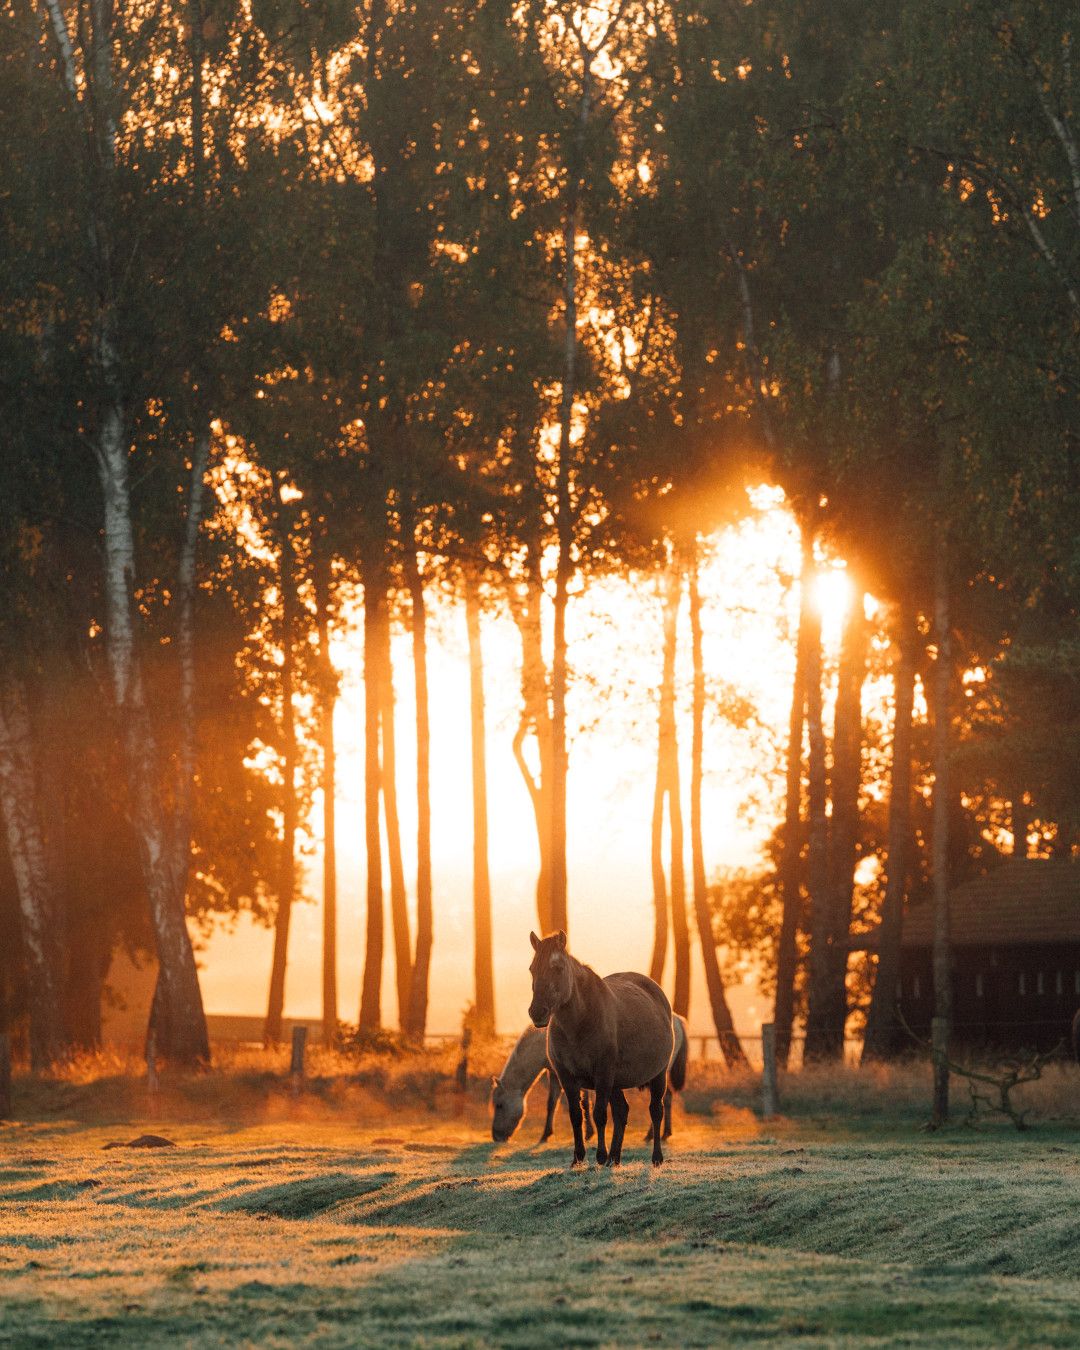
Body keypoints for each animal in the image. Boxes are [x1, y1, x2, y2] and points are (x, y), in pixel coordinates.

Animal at [528, 929, 674, 1167]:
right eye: (532, 969)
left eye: (557, 968)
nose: (537, 1012)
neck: (579, 1023)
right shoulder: (566, 1076)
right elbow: (576, 1115)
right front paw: (578, 1157)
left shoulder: (603, 1074)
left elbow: (599, 1115)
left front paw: (600, 1155)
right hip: (616, 1083)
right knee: (622, 1111)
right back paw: (615, 1158)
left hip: (658, 1075)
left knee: (655, 1110)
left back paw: (655, 1157)